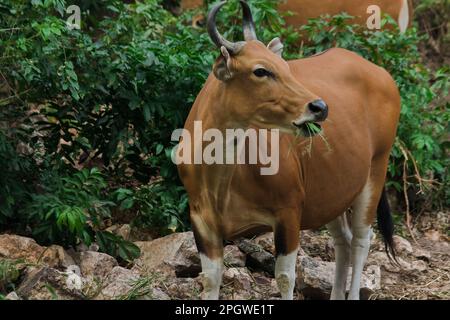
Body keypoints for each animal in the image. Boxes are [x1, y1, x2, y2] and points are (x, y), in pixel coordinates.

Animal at [176, 0, 400, 300]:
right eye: (260, 70)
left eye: (285, 66)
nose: (319, 107)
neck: (221, 180)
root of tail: (381, 74)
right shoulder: (202, 222)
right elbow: (210, 279)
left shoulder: (289, 213)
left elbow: (284, 278)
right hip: (332, 191)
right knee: (343, 240)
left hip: (376, 169)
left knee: (362, 240)